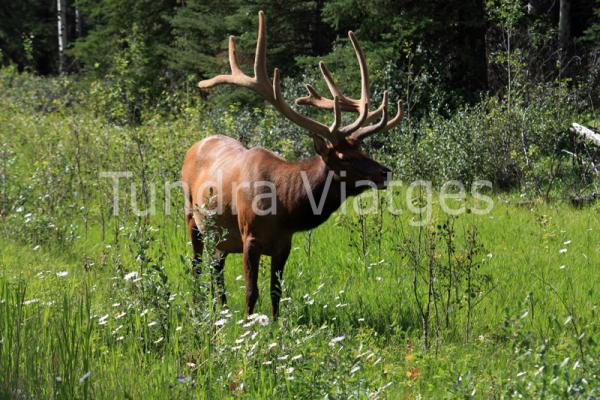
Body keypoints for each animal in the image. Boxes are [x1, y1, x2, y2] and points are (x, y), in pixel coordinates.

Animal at [180, 10, 400, 318]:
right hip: (192, 216)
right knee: (197, 266)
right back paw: (199, 308)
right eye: (345, 157)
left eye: (362, 149)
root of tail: (195, 145)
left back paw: (221, 311)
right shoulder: (250, 238)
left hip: (220, 236)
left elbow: (276, 292)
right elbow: (252, 292)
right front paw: (248, 324)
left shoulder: (284, 243)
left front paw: (274, 324)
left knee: (216, 267)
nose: (384, 172)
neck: (284, 205)